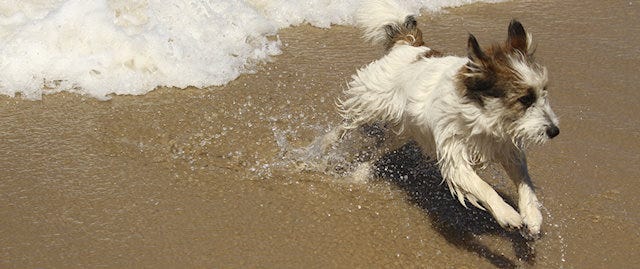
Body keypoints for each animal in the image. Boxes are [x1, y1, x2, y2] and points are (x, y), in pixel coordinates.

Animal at [328, 0, 556, 237]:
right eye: (525, 99)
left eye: (544, 93)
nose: (554, 131)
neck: (484, 116)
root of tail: (409, 45)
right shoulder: (454, 154)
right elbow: (482, 186)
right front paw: (507, 214)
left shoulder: (506, 147)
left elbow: (524, 180)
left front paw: (532, 215)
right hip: (370, 100)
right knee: (347, 123)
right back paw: (326, 144)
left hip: (403, 131)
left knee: (380, 148)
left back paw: (360, 173)